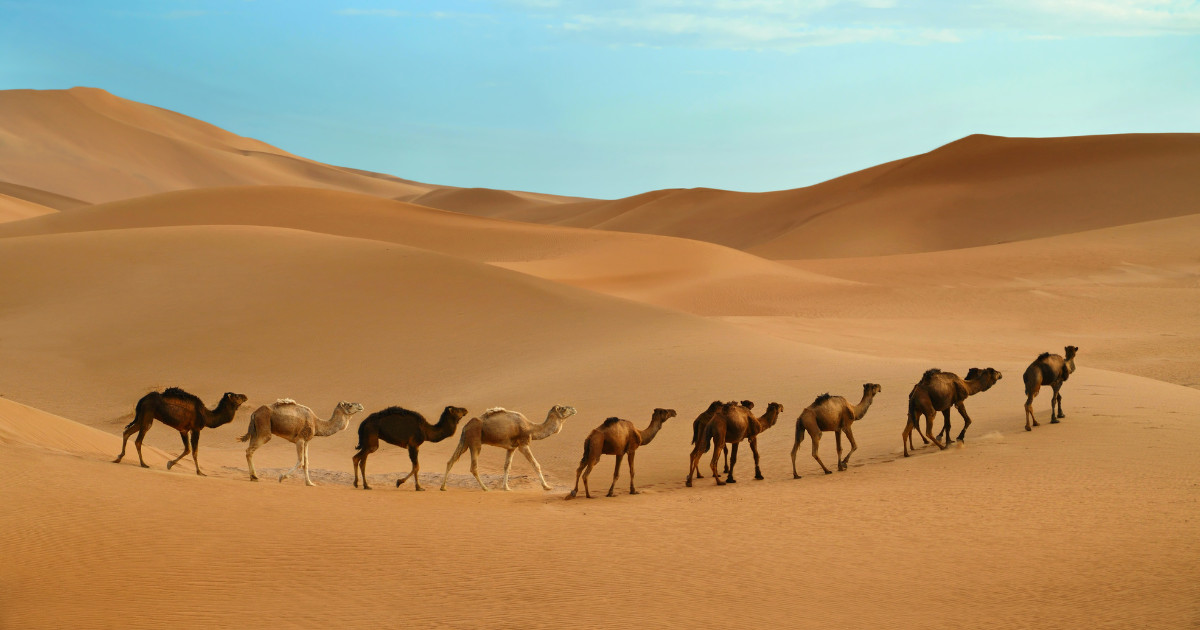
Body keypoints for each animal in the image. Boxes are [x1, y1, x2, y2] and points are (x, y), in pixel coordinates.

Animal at [115, 386, 249, 475]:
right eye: (237, 396)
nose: (245, 396)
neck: (207, 416)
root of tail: (142, 399)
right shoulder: (196, 429)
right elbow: (194, 451)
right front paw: (200, 472)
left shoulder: (183, 430)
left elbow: (187, 449)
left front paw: (169, 464)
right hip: (148, 415)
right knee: (138, 440)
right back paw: (143, 464)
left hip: (142, 417)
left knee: (127, 432)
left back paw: (118, 458)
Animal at [441, 403, 576, 492]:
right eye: (563, 408)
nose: (574, 409)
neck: (531, 428)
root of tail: (465, 426)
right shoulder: (523, 445)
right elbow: (535, 464)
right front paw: (547, 487)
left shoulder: (511, 448)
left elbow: (507, 466)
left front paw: (506, 487)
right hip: (475, 443)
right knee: (473, 467)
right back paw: (485, 488)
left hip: (464, 442)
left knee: (451, 461)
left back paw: (443, 487)